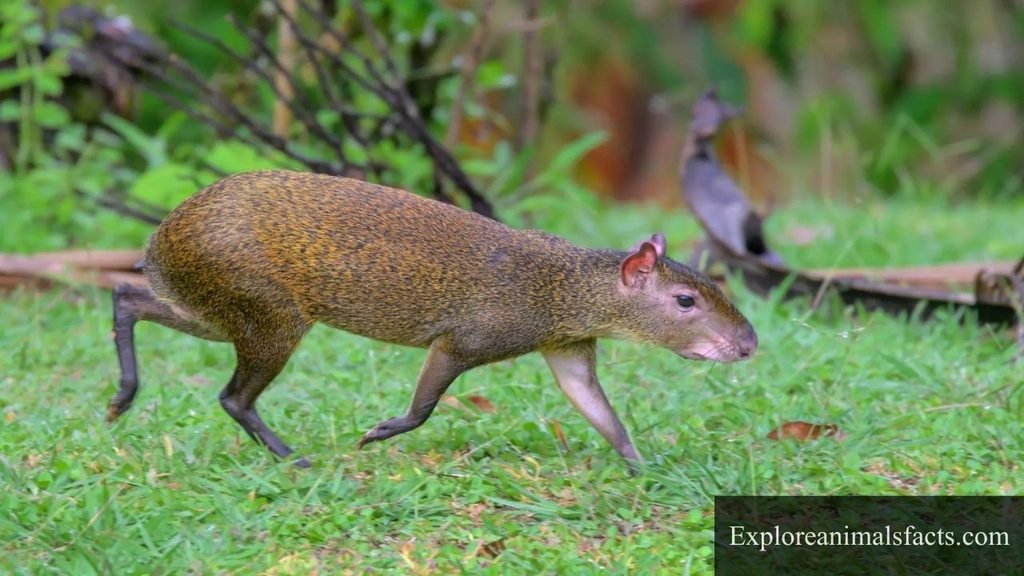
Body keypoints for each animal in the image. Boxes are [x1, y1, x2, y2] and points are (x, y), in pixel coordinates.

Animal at [110, 170, 757, 468]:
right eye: (686, 301)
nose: (749, 343)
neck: (562, 289)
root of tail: (159, 241)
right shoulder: (464, 340)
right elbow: (423, 409)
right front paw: (378, 432)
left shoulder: (569, 349)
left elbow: (602, 413)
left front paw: (641, 466)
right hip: (268, 312)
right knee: (233, 397)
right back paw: (295, 458)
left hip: (220, 306)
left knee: (126, 296)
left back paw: (121, 397)